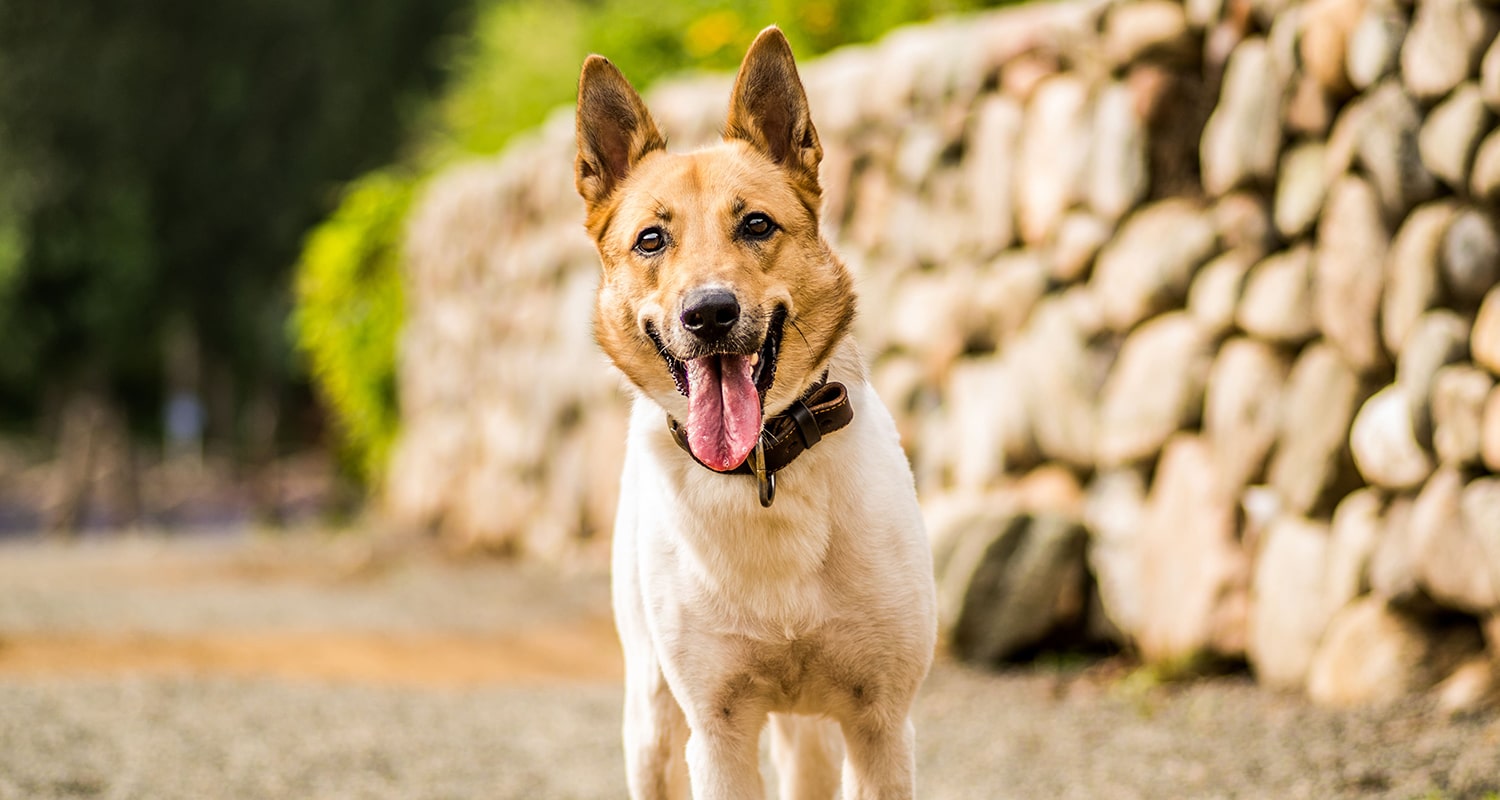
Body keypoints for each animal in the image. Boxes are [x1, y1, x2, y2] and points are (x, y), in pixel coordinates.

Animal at [576, 26, 936, 798]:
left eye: (757, 224)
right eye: (651, 240)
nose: (710, 313)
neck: (764, 466)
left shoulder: (881, 724)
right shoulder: (718, 730)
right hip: (652, 719)